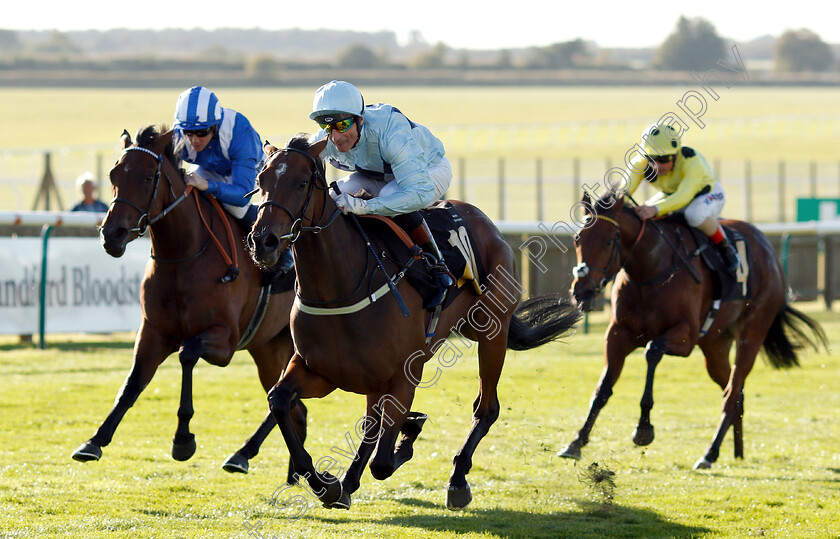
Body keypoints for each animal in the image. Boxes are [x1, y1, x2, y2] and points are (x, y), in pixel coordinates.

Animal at [73, 124, 306, 478]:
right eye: (114, 174)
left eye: (147, 177)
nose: (112, 234)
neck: (183, 257)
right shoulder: (153, 332)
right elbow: (132, 383)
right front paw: (94, 441)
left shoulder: (224, 340)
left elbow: (187, 353)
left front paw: (182, 439)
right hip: (269, 347)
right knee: (294, 405)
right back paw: (290, 470)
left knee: (286, 400)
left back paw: (244, 454)